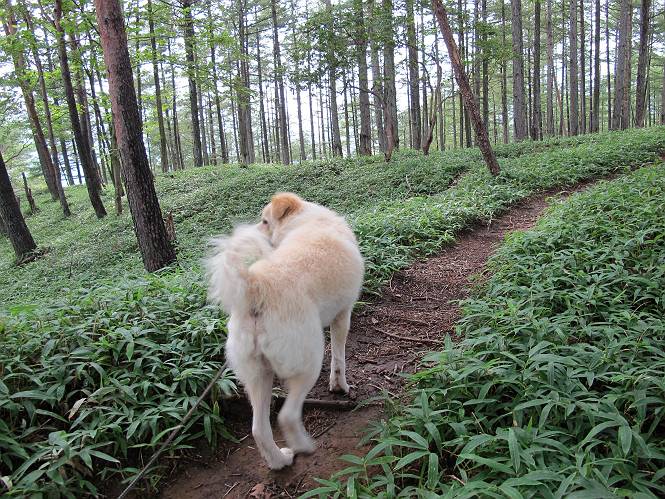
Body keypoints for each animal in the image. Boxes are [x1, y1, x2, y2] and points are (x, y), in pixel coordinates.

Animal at [205, 192, 364, 469]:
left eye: (264, 221)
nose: (253, 230)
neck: (306, 221)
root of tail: (255, 287)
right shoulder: (343, 316)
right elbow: (339, 359)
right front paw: (340, 387)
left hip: (258, 376)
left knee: (259, 429)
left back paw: (280, 460)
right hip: (308, 363)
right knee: (287, 416)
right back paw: (304, 446)